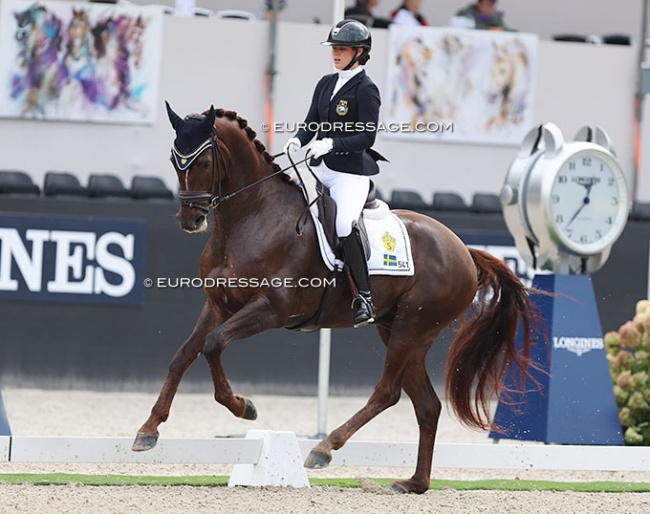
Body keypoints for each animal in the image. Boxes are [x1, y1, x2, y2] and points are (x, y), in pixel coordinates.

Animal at [130, 101, 536, 492]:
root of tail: (464, 250)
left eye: (203, 162)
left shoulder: (270, 310)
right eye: (174, 160)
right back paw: (414, 483)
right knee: (427, 405)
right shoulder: (218, 305)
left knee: (387, 392)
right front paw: (148, 429)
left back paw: (324, 448)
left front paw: (243, 407)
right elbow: (183, 355)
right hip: (402, 330)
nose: (191, 220)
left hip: (413, 327)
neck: (251, 218)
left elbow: (213, 344)